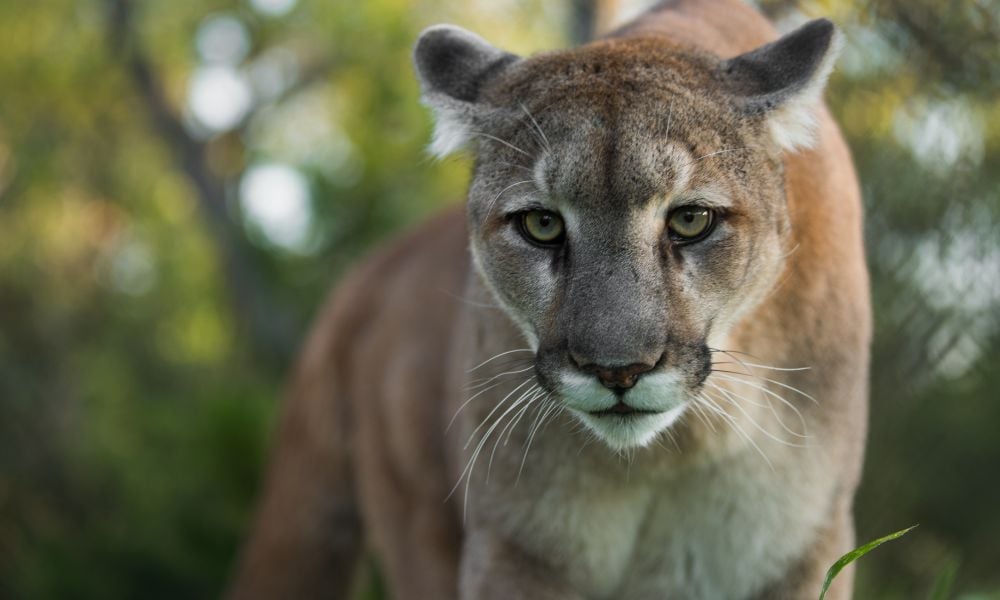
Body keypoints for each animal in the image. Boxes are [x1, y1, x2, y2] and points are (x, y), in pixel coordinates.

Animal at [230, 0, 872, 596]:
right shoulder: (512, 549)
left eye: (690, 219)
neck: (671, 452)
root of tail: (372, 268)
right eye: (542, 224)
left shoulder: (803, 552)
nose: (617, 371)